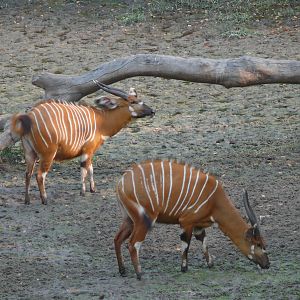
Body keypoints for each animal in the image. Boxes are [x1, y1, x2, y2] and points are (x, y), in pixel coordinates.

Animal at [9, 81, 155, 205]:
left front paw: (93, 189)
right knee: (40, 175)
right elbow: (84, 169)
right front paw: (83, 192)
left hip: (30, 153)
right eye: (133, 101)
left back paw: (27, 200)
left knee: (27, 174)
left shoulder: (89, 152)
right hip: (48, 154)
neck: (101, 121)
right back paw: (45, 200)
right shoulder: (87, 150)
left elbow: (90, 168)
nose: (152, 111)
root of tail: (28, 116)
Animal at [114, 161, 270, 280]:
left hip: (129, 220)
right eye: (258, 243)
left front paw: (210, 263)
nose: (267, 264)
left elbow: (203, 241)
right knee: (133, 244)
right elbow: (186, 244)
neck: (215, 200)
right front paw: (184, 268)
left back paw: (122, 271)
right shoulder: (186, 222)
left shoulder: (198, 226)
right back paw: (139, 274)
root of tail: (120, 184)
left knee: (117, 239)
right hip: (144, 220)